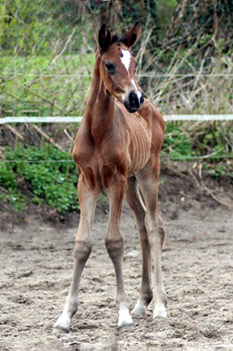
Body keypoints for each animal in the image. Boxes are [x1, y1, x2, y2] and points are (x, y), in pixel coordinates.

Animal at [55, 22, 167, 332]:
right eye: (109, 64)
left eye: (134, 62)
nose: (134, 98)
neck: (97, 131)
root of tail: (153, 110)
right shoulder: (87, 182)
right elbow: (82, 244)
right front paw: (65, 315)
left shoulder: (114, 181)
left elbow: (114, 242)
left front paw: (123, 314)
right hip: (131, 182)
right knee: (142, 226)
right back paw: (143, 301)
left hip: (148, 173)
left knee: (155, 227)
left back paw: (160, 306)